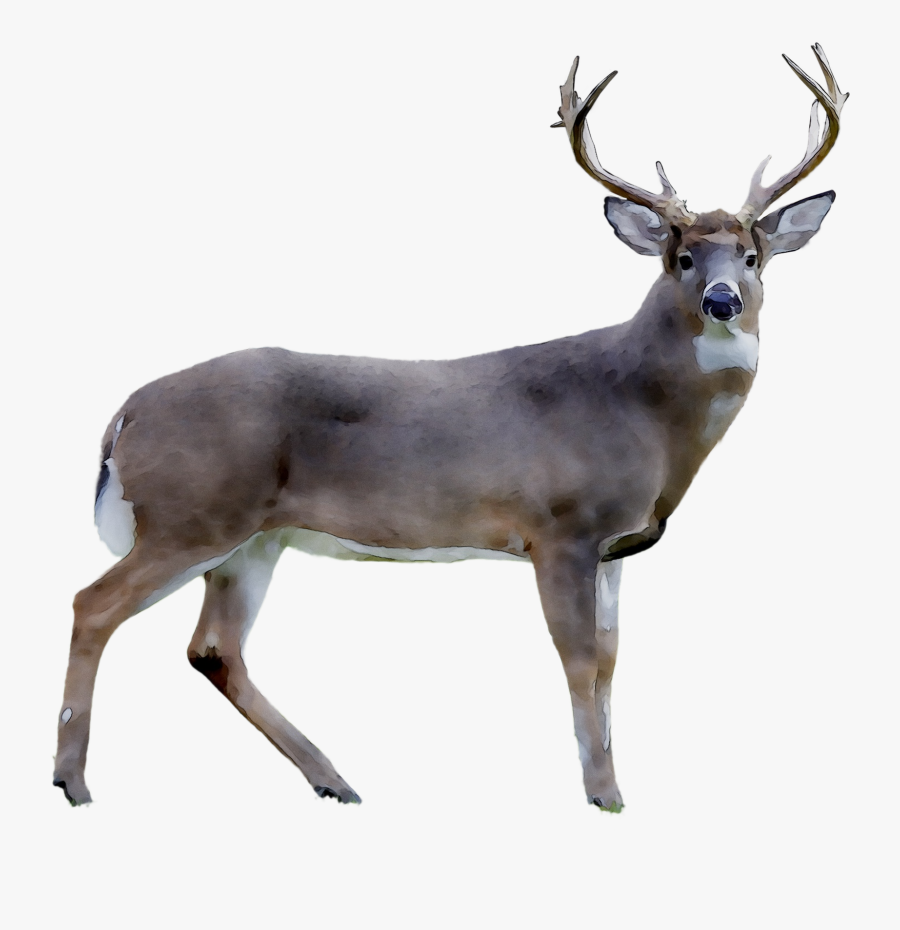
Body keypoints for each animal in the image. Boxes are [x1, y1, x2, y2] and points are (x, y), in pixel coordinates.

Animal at [54, 45, 847, 811]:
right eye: (681, 257)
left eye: (752, 257)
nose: (722, 300)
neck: (639, 411)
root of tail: (124, 414)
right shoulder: (559, 527)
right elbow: (581, 660)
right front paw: (603, 793)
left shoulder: (616, 545)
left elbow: (614, 661)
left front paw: (616, 783)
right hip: (192, 513)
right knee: (94, 605)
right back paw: (73, 781)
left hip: (251, 537)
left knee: (214, 648)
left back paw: (334, 780)